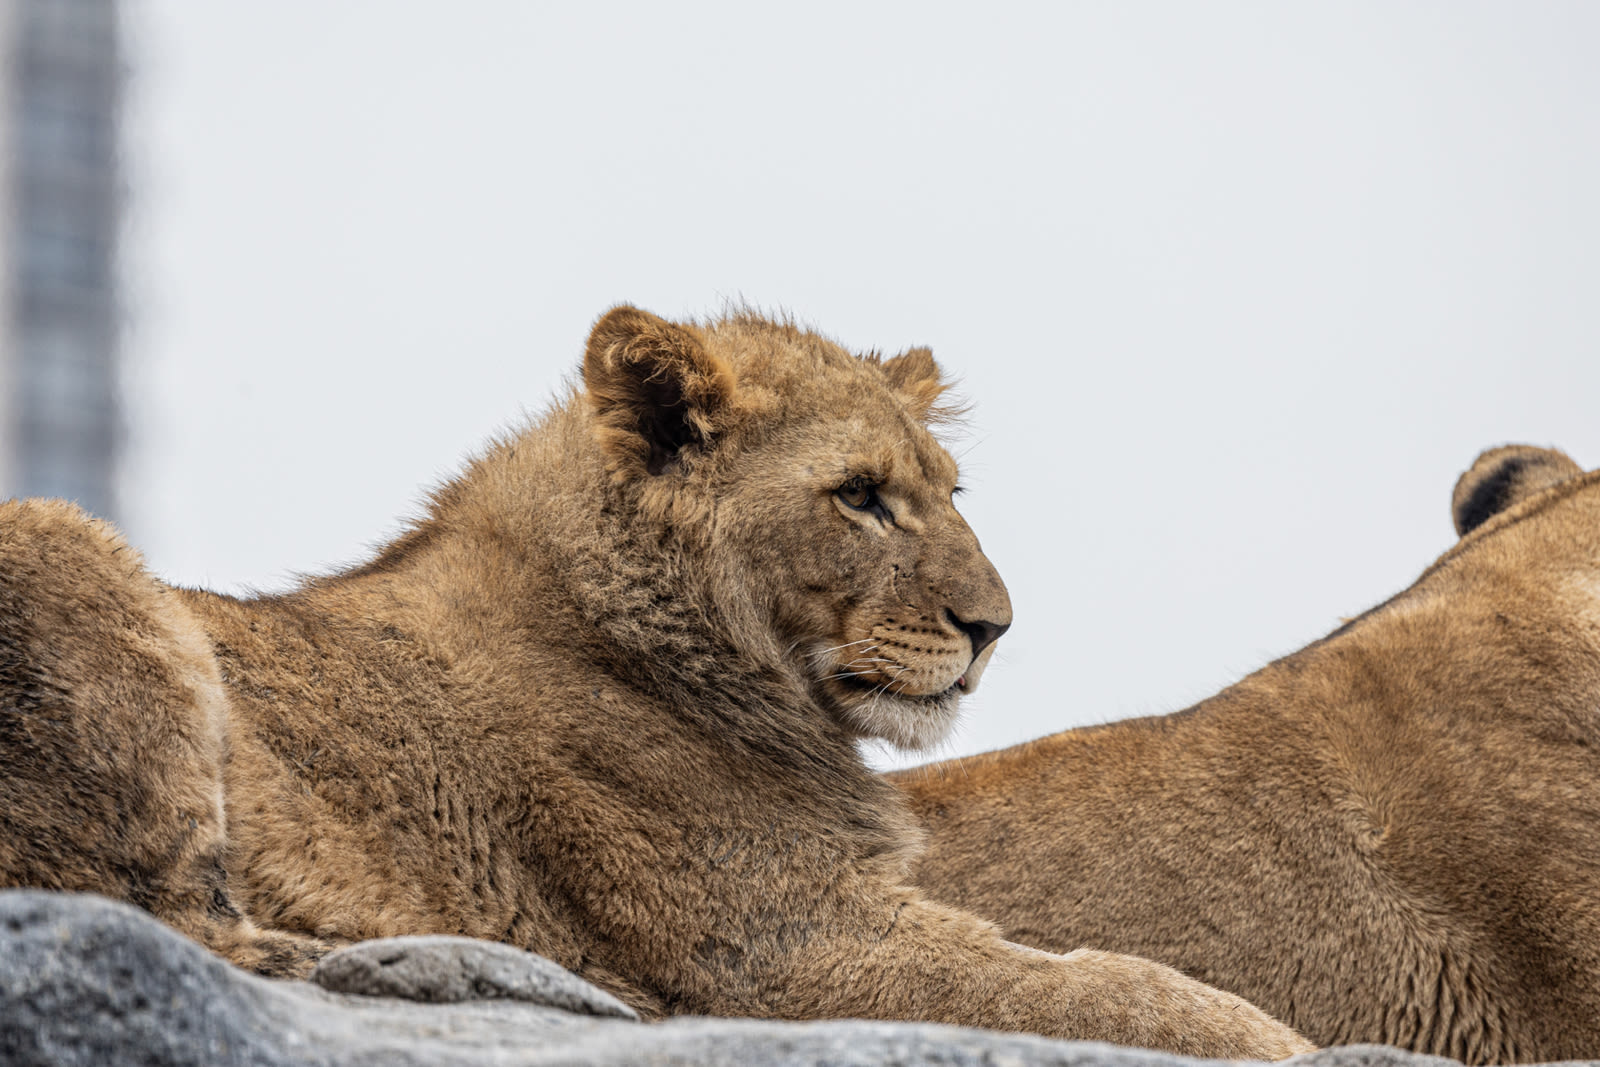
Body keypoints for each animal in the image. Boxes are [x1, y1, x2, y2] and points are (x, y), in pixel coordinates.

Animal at [0, 307, 1312, 1062]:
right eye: (859, 495)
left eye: (949, 491)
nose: (992, 627)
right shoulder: (785, 947)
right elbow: (1121, 989)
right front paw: (1276, 1037)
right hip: (62, 539)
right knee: (167, 914)